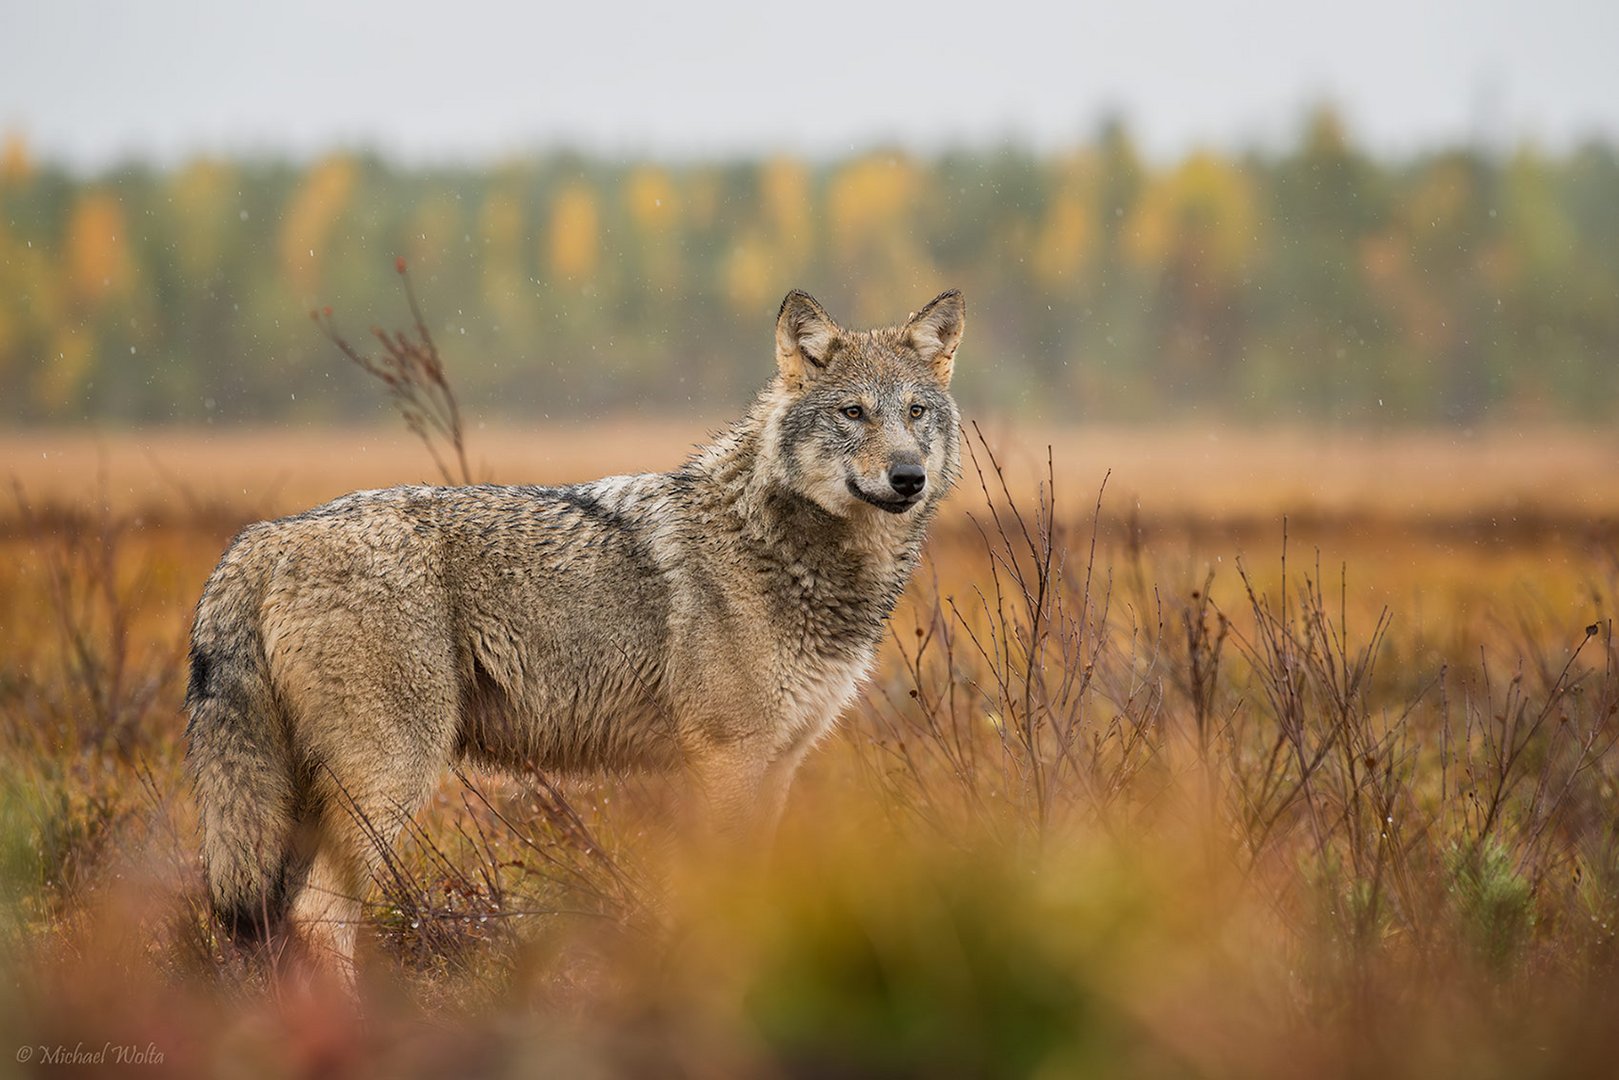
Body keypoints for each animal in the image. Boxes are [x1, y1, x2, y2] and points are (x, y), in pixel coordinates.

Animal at [187, 289, 964, 977]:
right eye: (852, 412)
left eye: (915, 412)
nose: (908, 478)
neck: (784, 547)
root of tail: (264, 537)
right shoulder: (727, 760)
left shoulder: (778, 767)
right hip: (388, 782)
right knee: (319, 917)